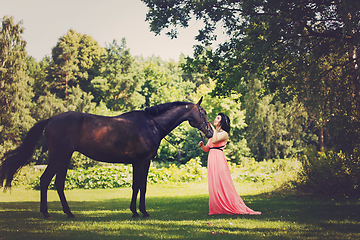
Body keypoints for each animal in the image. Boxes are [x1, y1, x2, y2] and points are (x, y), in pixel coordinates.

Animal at [0, 98, 212, 219]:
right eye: (203, 112)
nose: (210, 131)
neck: (151, 124)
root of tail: (51, 120)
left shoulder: (136, 163)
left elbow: (136, 186)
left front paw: (134, 211)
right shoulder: (144, 161)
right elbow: (142, 186)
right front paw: (143, 212)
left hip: (63, 159)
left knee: (57, 184)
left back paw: (67, 213)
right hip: (60, 157)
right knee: (46, 181)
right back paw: (48, 213)